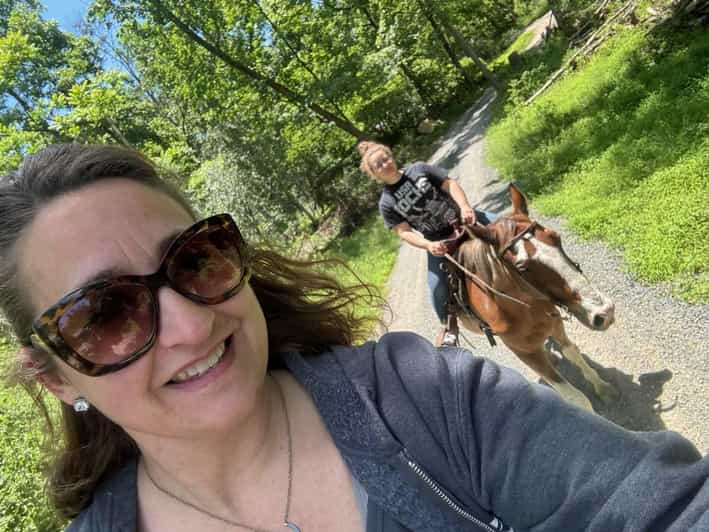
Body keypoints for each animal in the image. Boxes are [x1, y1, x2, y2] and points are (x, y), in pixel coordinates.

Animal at [450, 185, 616, 414]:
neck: (525, 307)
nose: (604, 313)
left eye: (557, 238)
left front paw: (602, 388)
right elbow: (577, 398)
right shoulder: (525, 353)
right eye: (522, 268)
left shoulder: (554, 323)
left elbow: (572, 352)